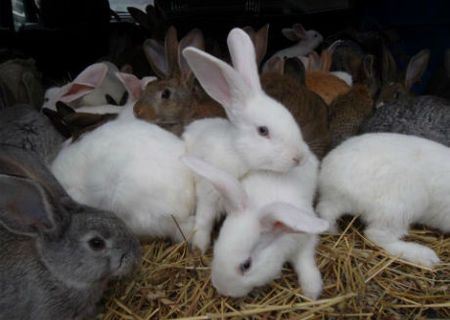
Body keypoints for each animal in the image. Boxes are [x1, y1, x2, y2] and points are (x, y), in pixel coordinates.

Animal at [181, 27, 312, 252]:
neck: (237, 152)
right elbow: (204, 219)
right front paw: (199, 246)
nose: (298, 157)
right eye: (263, 131)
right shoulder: (207, 193)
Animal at [181, 151, 328, 298]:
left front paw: (312, 292)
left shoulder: (305, 241)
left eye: (246, 265)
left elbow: (305, 260)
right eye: (216, 247)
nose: (222, 289)